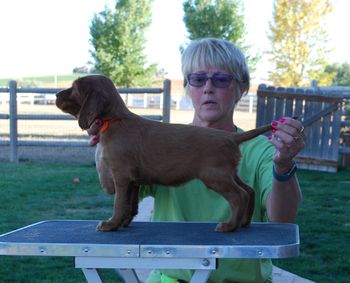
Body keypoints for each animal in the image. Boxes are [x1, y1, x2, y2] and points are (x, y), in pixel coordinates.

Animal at [56, 75, 272, 233]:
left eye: (74, 88)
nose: (56, 94)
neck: (115, 120)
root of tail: (231, 137)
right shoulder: (133, 181)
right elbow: (130, 204)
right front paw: (123, 223)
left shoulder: (121, 175)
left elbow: (119, 203)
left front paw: (111, 224)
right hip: (228, 173)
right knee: (249, 190)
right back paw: (244, 223)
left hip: (215, 176)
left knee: (239, 196)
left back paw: (230, 226)